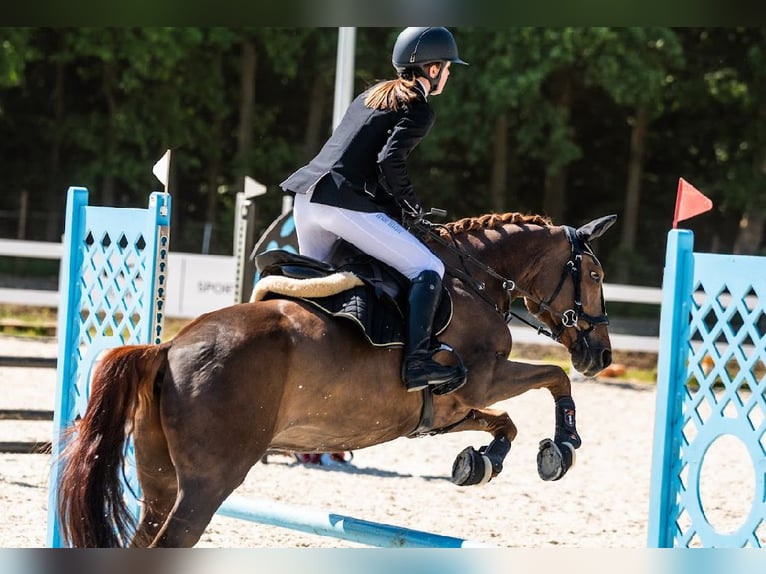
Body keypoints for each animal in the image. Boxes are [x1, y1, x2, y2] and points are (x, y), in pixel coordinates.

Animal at [56, 211, 617, 547]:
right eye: (594, 276)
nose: (602, 356)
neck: (473, 282)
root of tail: (166, 348)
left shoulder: (446, 409)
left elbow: (504, 423)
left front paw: (478, 463)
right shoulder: (484, 379)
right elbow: (555, 378)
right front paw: (562, 447)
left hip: (158, 483)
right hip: (207, 483)